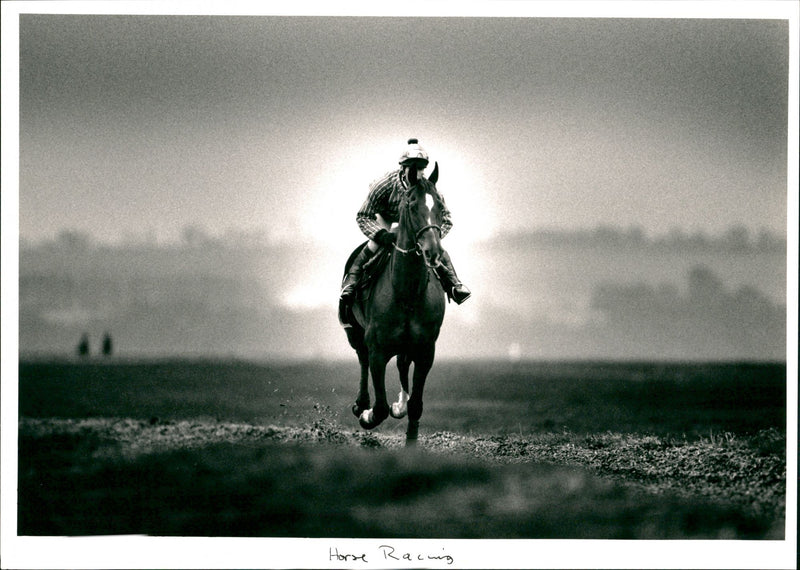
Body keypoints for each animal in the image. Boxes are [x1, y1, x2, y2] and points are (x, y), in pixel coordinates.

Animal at [340, 162, 446, 442]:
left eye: (439, 205)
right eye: (411, 205)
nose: (433, 251)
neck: (407, 292)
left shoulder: (425, 350)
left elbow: (416, 405)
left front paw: (410, 437)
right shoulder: (377, 348)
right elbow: (379, 407)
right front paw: (366, 414)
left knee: (401, 364)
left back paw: (399, 403)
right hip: (355, 333)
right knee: (362, 358)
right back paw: (361, 404)